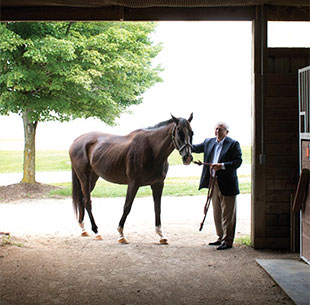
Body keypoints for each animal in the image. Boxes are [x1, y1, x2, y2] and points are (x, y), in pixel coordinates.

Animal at [69, 113, 194, 243]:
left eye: (191, 132)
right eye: (179, 131)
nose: (188, 157)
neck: (152, 150)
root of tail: (76, 141)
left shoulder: (158, 184)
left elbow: (157, 208)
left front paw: (161, 235)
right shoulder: (133, 183)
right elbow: (127, 206)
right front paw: (121, 235)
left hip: (92, 178)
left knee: (82, 199)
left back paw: (83, 229)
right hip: (84, 177)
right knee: (87, 201)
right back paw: (96, 231)